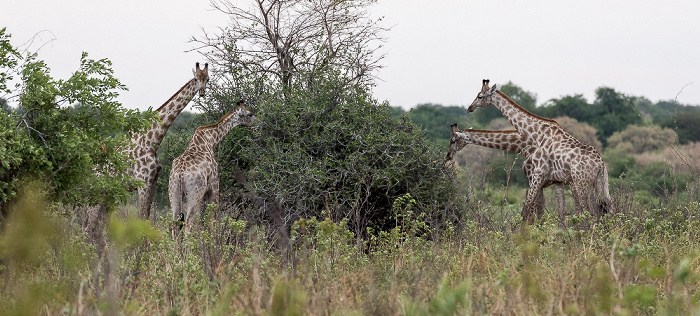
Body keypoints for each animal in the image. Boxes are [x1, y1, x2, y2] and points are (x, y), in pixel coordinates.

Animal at [126, 62, 209, 220]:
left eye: (207, 79)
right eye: (196, 78)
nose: (202, 92)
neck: (151, 141)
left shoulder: (153, 182)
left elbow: (146, 217)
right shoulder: (143, 182)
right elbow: (141, 216)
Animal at [168, 100, 256, 236]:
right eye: (249, 114)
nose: (257, 122)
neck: (211, 140)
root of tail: (181, 172)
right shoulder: (214, 185)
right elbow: (212, 218)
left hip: (174, 192)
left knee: (175, 224)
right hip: (195, 194)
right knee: (188, 224)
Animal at [468, 80, 608, 223]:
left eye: (480, 96)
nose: (469, 108)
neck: (536, 133)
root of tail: (600, 164)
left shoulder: (537, 176)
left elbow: (528, 210)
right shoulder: (554, 181)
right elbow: (557, 212)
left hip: (581, 183)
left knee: (588, 212)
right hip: (600, 183)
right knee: (603, 210)